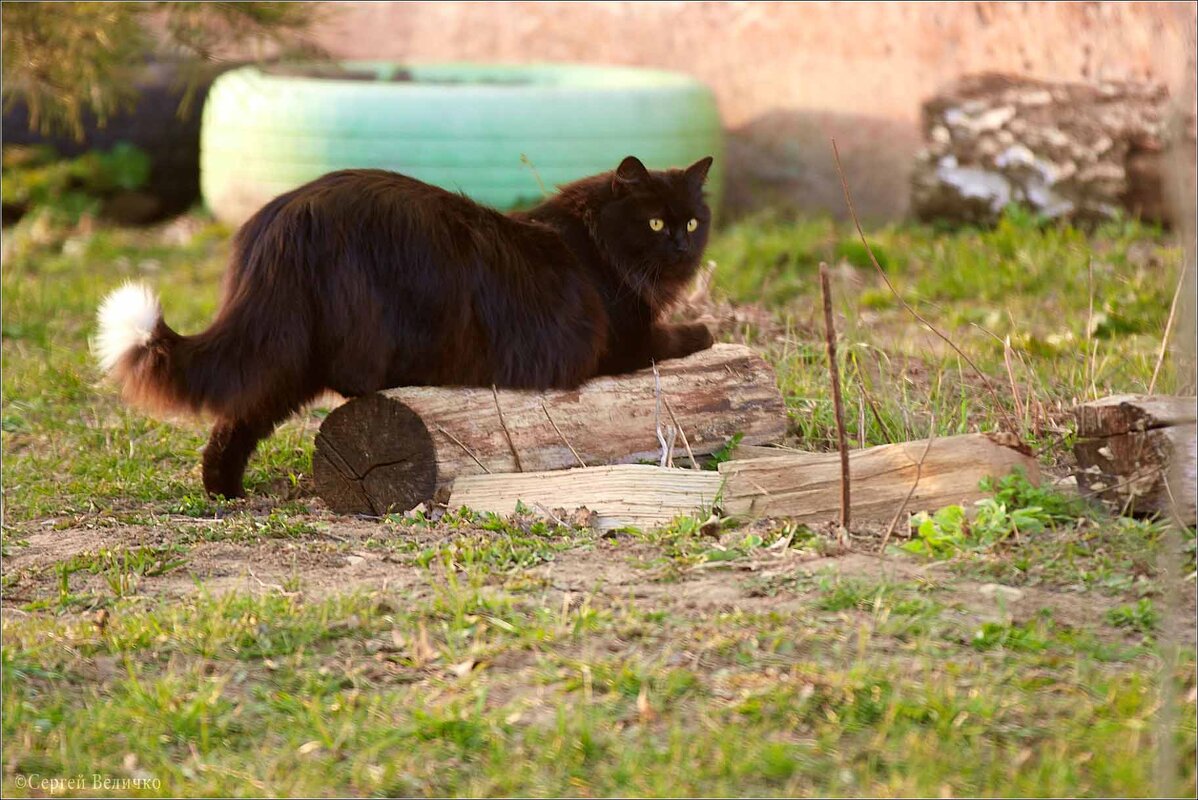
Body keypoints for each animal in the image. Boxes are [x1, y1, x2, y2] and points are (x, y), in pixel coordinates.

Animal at [98, 153, 714, 495]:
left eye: (691, 221)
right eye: (655, 223)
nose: (683, 247)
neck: (593, 238)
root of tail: (287, 215)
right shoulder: (625, 342)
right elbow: (685, 334)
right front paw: (706, 329)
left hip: (285, 347)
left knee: (241, 417)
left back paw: (224, 493)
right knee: (352, 382)